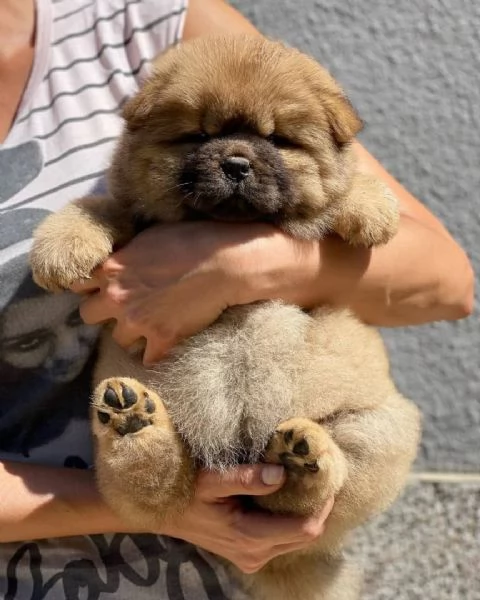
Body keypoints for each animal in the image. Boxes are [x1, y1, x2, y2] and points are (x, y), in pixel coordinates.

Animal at [29, 36, 420, 600]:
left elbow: (340, 190)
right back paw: (134, 422)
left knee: (316, 498)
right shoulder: (133, 213)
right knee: (151, 491)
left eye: (278, 140)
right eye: (197, 136)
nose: (237, 163)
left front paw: (371, 209)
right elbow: (98, 207)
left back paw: (300, 460)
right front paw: (60, 248)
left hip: (382, 428)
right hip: (128, 456)